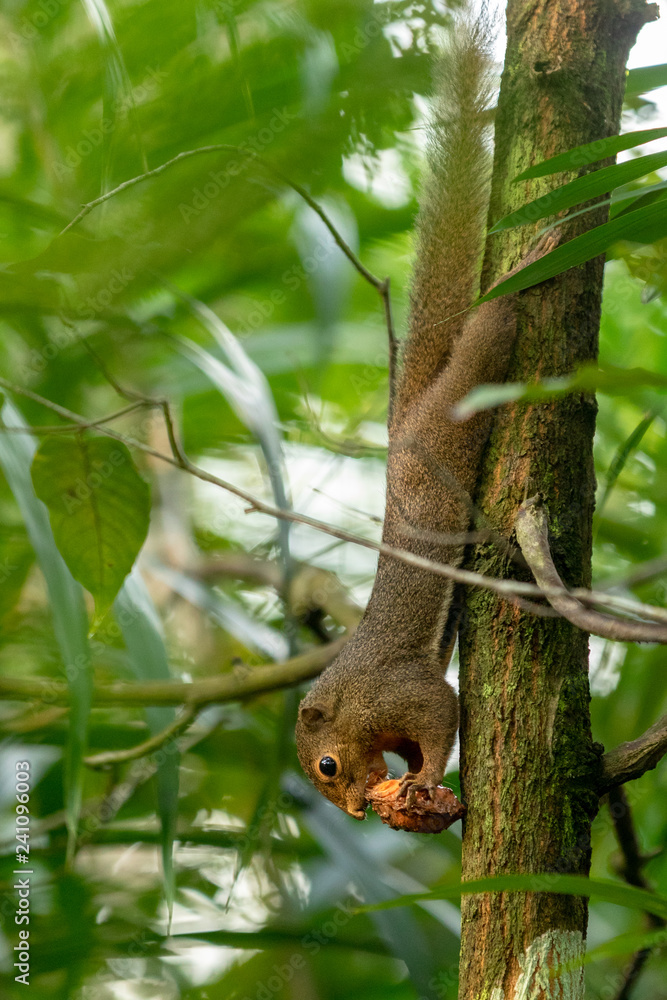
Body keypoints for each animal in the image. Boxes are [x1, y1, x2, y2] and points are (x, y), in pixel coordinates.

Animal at [296, 17, 554, 820]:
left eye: (325, 765)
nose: (353, 812)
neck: (353, 700)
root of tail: (404, 423)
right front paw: (413, 792)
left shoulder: (402, 691)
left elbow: (441, 718)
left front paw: (426, 776)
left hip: (459, 401)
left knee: (489, 333)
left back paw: (527, 268)